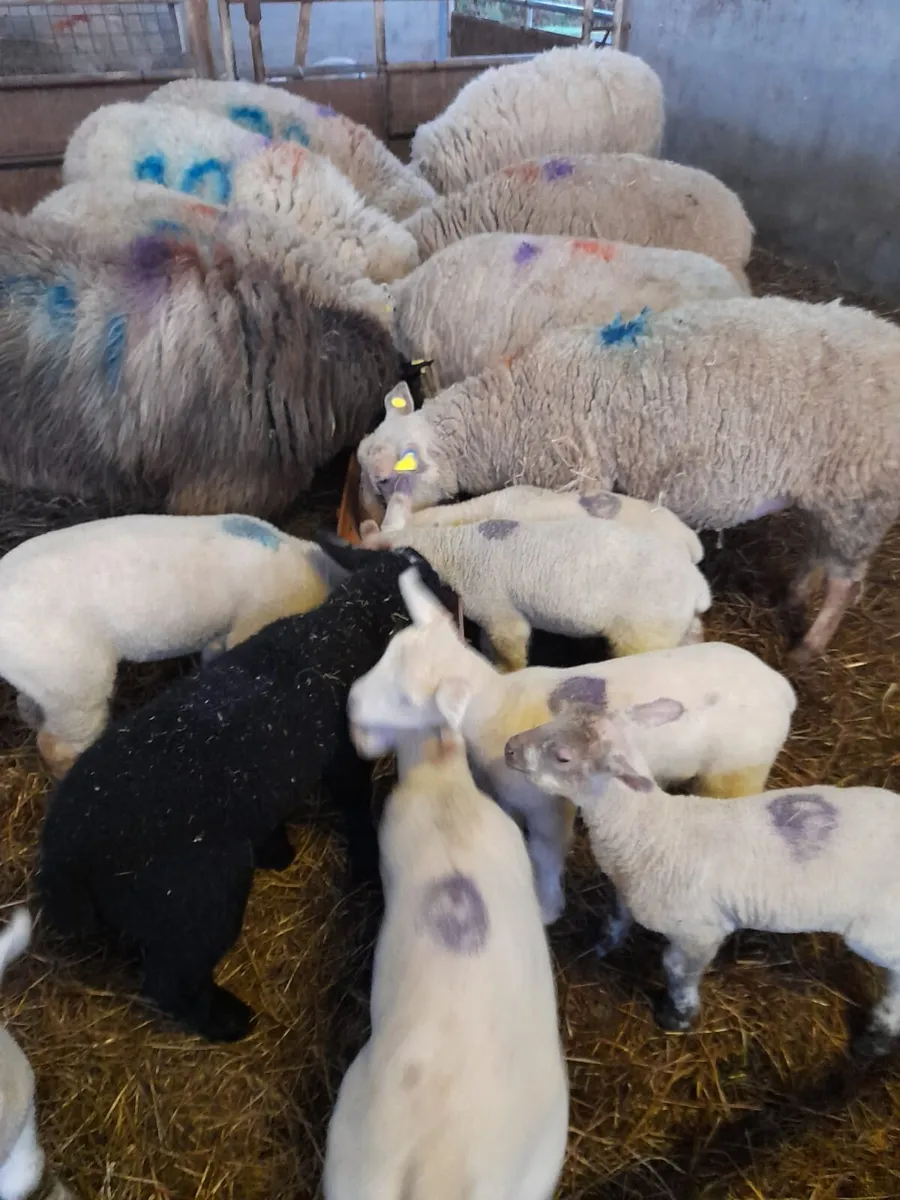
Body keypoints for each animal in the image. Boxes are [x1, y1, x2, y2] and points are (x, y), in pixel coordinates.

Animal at [37, 538, 448, 1042]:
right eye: (433, 580)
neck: (339, 630)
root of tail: (62, 853)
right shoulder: (341, 752)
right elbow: (354, 803)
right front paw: (368, 865)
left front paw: (277, 851)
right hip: (196, 897)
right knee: (171, 980)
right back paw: (229, 1023)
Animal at [348, 568, 796, 924]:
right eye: (387, 653)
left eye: (407, 699)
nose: (351, 703)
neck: (497, 708)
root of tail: (783, 689)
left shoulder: (547, 808)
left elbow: (546, 855)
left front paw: (546, 909)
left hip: (737, 771)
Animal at [505, 701, 900, 1058]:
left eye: (563, 758)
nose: (509, 748)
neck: (648, 832)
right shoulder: (628, 889)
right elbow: (616, 917)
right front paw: (601, 947)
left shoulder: (700, 931)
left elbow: (676, 968)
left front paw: (677, 1017)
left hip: (877, 932)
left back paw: (877, 1037)